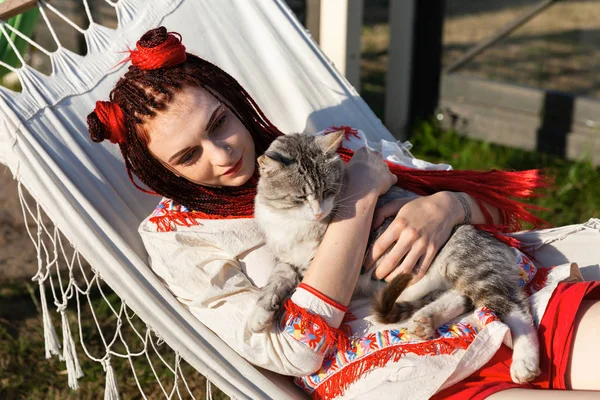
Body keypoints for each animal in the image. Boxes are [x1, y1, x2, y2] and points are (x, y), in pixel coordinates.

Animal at [251, 132, 540, 384]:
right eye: (300, 197)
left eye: (328, 191)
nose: (319, 212)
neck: (290, 223)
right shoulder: (287, 258)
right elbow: (277, 279)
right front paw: (260, 311)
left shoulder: (323, 260)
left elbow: (299, 288)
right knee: (458, 295)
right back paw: (425, 317)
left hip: (464, 261)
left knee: (514, 307)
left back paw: (525, 362)